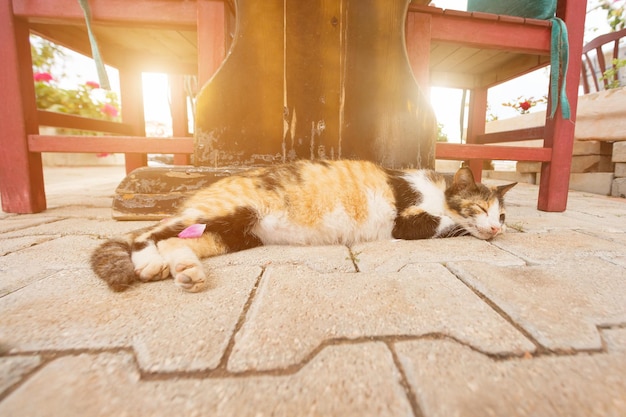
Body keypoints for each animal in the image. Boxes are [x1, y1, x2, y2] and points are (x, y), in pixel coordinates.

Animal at [90, 159, 516, 292]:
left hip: (234, 234)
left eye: (502, 215)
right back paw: (148, 262)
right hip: (220, 212)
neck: (436, 191)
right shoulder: (407, 223)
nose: (497, 229)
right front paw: (465, 226)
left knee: (176, 241)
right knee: (141, 233)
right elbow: (448, 224)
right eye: (480, 207)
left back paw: (184, 270)